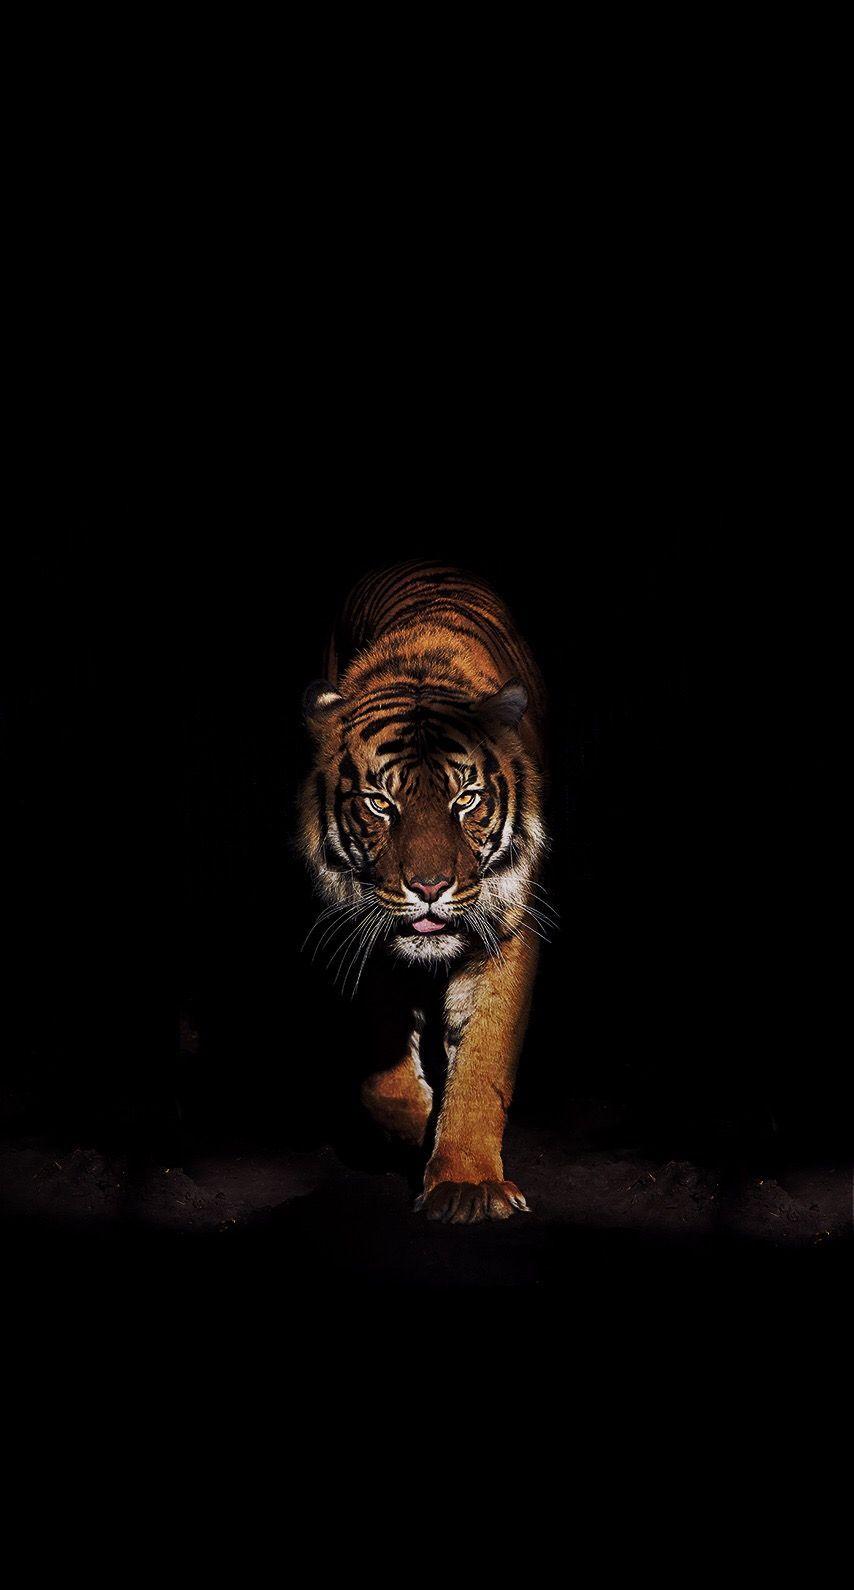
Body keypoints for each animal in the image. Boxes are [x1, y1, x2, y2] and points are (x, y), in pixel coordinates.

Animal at [298, 560, 550, 1223]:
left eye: (466, 799)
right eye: (380, 804)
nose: (431, 887)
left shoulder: (508, 927)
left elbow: (484, 1060)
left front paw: (466, 1184)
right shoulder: (363, 927)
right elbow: (382, 1068)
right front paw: (417, 1129)